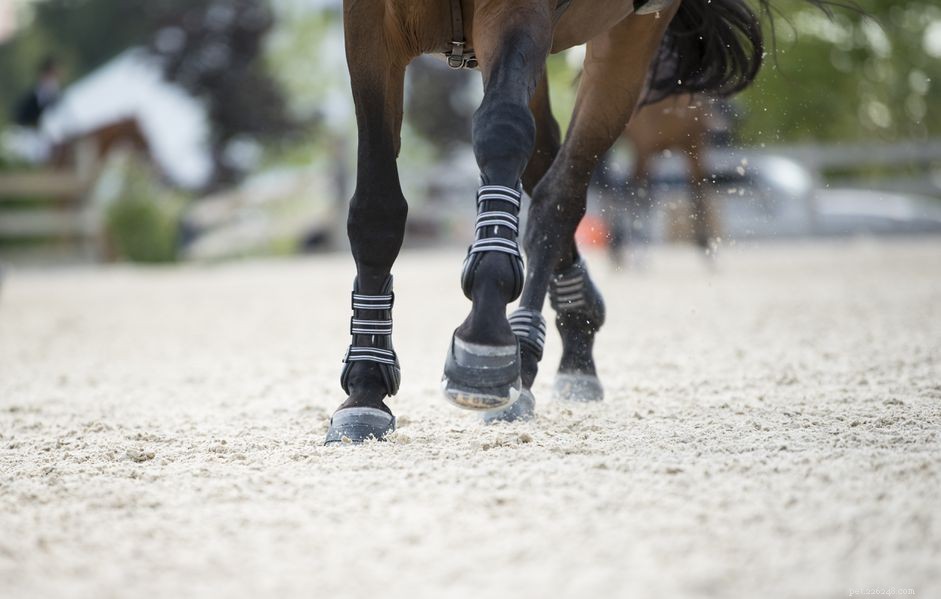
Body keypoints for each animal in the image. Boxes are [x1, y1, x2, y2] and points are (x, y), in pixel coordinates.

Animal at [325, 0, 832, 443]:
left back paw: (531, 355)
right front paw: (366, 387)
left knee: (559, 191)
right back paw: (571, 333)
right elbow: (376, 206)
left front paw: (485, 342)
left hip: (628, 41)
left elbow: (502, 131)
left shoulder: (518, 13)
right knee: (545, 160)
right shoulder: (369, 23)